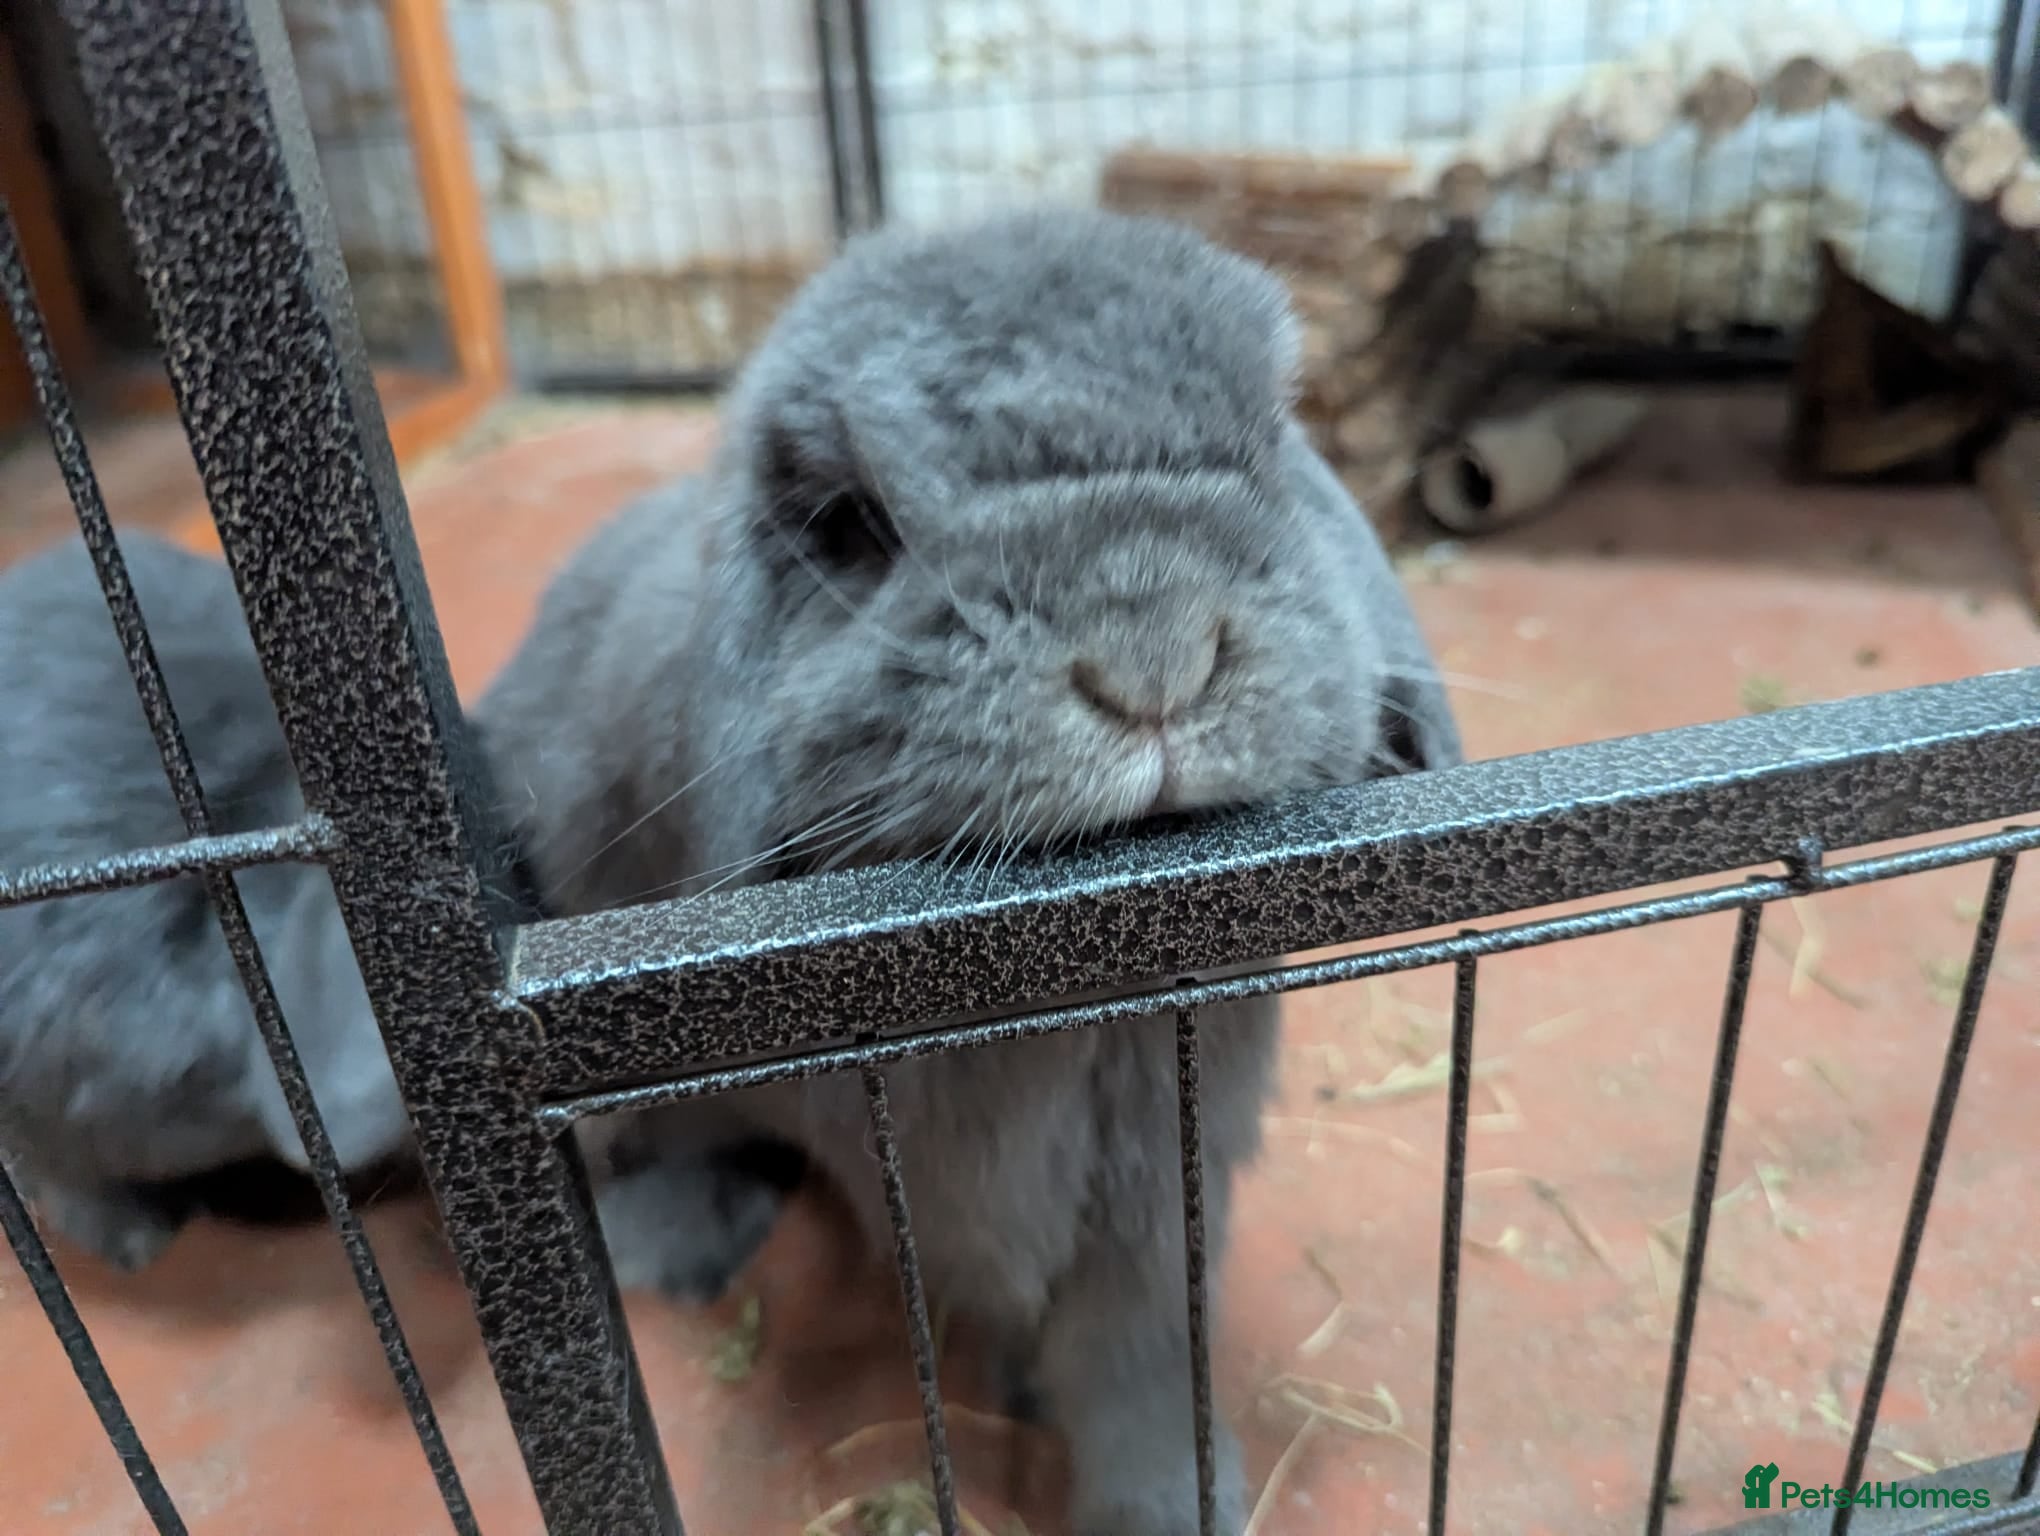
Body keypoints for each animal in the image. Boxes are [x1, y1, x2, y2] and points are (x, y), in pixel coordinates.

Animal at [477, 206, 1464, 1536]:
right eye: (855, 524)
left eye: (1270, 446)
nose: (1151, 647)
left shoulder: (1155, 1190)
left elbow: (1140, 1352)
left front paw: (1173, 1500)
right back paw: (673, 1247)